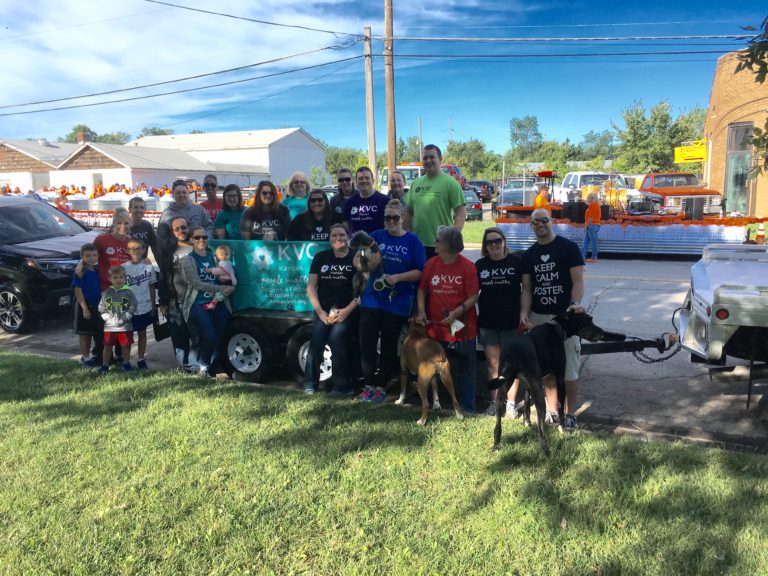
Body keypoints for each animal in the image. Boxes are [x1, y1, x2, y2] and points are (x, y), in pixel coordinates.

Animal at [488, 312, 628, 456]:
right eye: (587, 321)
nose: (601, 333)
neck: (557, 328)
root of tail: (514, 353)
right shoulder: (560, 378)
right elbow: (560, 407)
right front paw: (562, 429)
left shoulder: (527, 385)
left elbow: (526, 402)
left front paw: (527, 423)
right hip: (539, 395)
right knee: (541, 432)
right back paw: (546, 452)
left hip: (501, 392)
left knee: (497, 425)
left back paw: (496, 446)